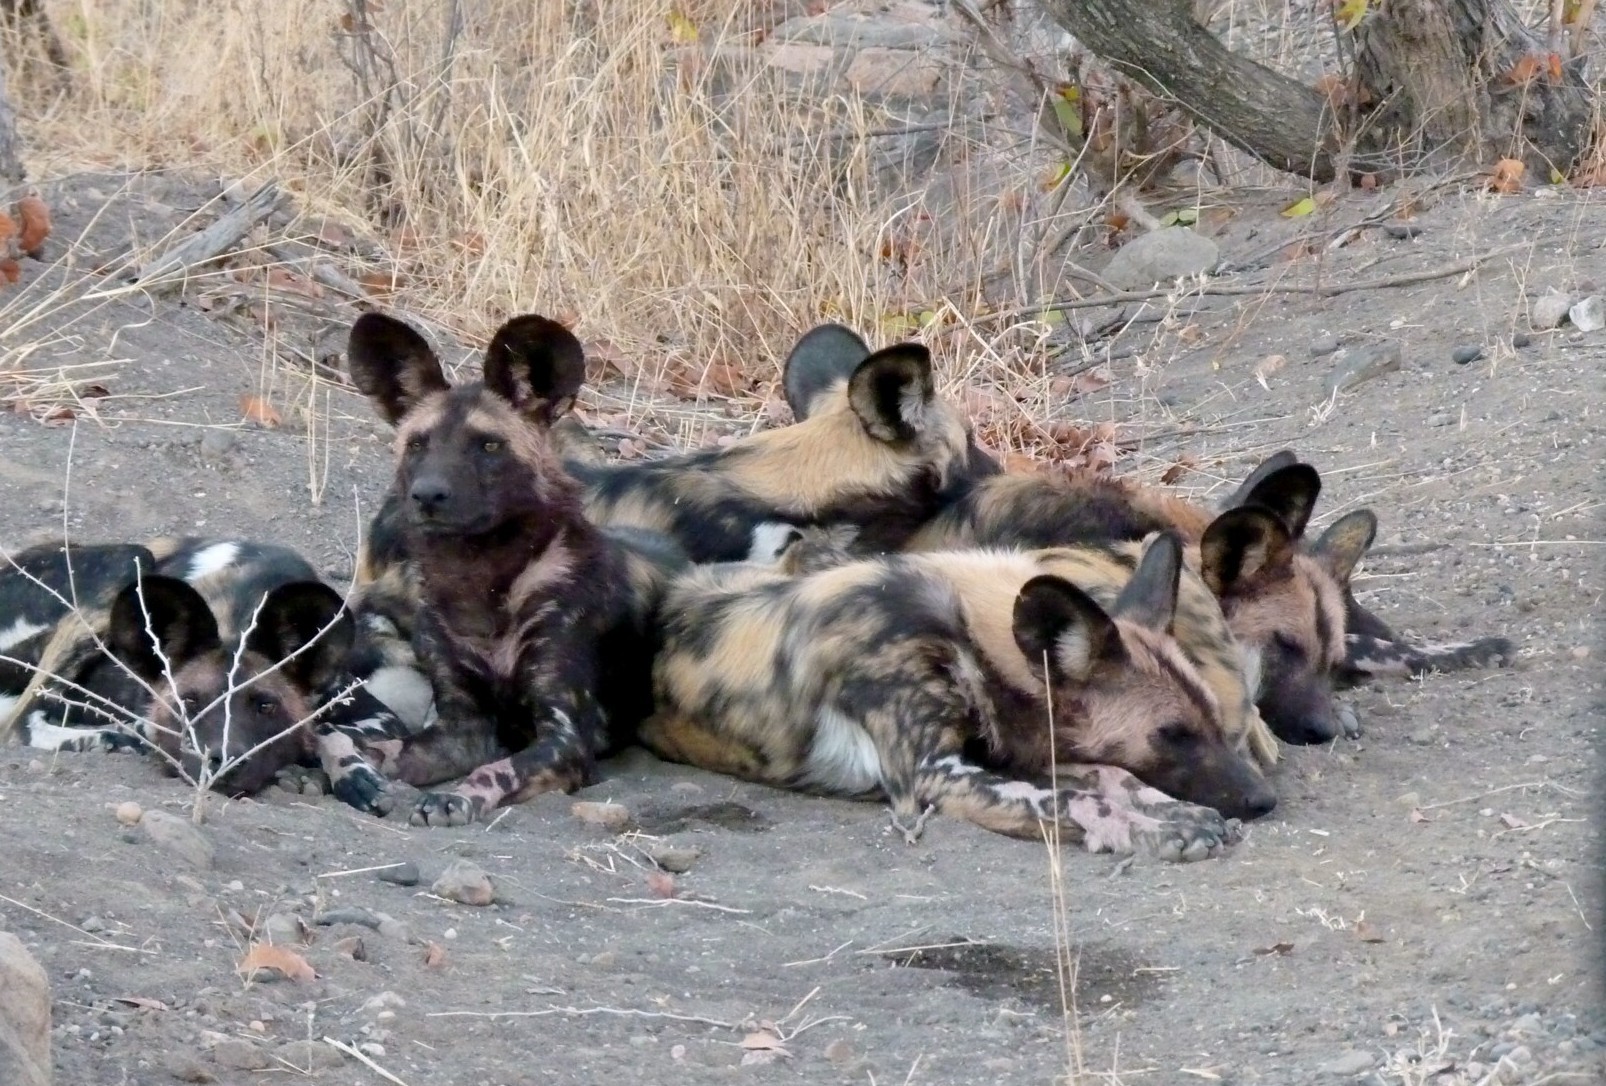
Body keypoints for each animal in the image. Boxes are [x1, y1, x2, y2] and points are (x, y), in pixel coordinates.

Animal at [0, 536, 396, 806]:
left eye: (265, 706)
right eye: (189, 702)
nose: (219, 764)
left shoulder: (382, 716)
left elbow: (326, 728)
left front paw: (351, 770)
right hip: (130, 561)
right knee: (20, 722)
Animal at [345, 310, 684, 828]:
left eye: (488, 446)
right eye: (418, 444)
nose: (427, 495)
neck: (480, 584)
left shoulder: (565, 739)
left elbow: (495, 771)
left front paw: (455, 798)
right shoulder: (462, 724)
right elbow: (388, 750)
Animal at [639, 530, 1265, 861]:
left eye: (1212, 720)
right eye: (1172, 735)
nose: (1264, 799)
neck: (963, 633)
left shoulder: (1020, 748)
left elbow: (1112, 777)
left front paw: (1169, 811)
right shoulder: (932, 775)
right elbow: (1062, 799)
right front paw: (1158, 829)